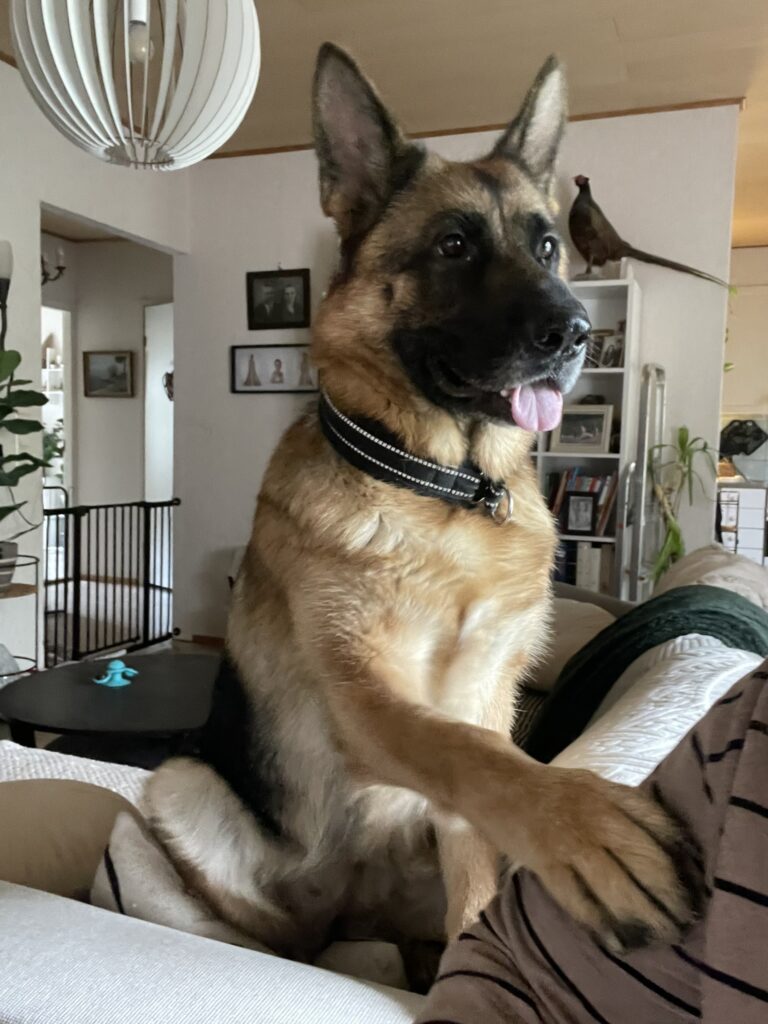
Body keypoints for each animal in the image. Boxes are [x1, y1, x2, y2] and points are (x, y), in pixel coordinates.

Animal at [145, 45, 702, 980]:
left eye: (548, 247)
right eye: (454, 245)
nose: (579, 333)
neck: (447, 488)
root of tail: (350, 910)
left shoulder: (482, 697)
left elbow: (481, 786)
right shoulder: (365, 696)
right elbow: (468, 753)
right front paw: (580, 821)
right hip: (179, 785)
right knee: (281, 936)